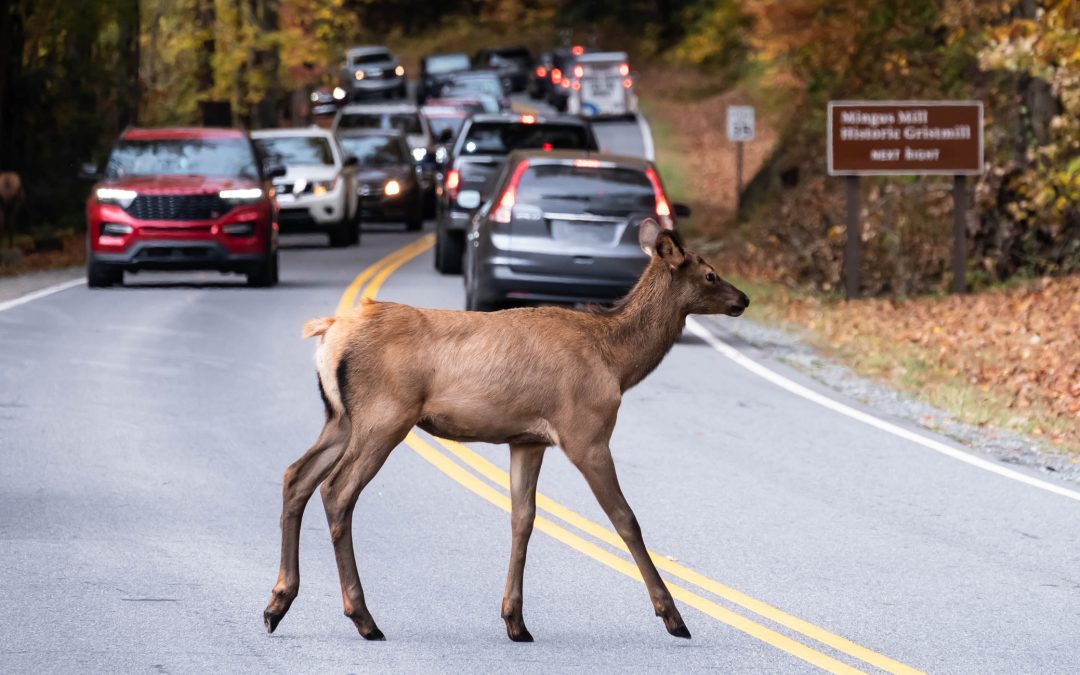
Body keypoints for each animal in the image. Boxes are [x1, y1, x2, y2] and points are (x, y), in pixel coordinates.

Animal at [264, 220, 747, 643]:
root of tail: (328, 332)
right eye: (709, 273)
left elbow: (523, 519)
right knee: (336, 490)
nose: (742, 299)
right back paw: (363, 617)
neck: (616, 362)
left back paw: (277, 603)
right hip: (384, 415)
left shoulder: (528, 440)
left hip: (340, 418)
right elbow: (625, 519)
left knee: (296, 475)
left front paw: (515, 620)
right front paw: (673, 616)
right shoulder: (585, 433)